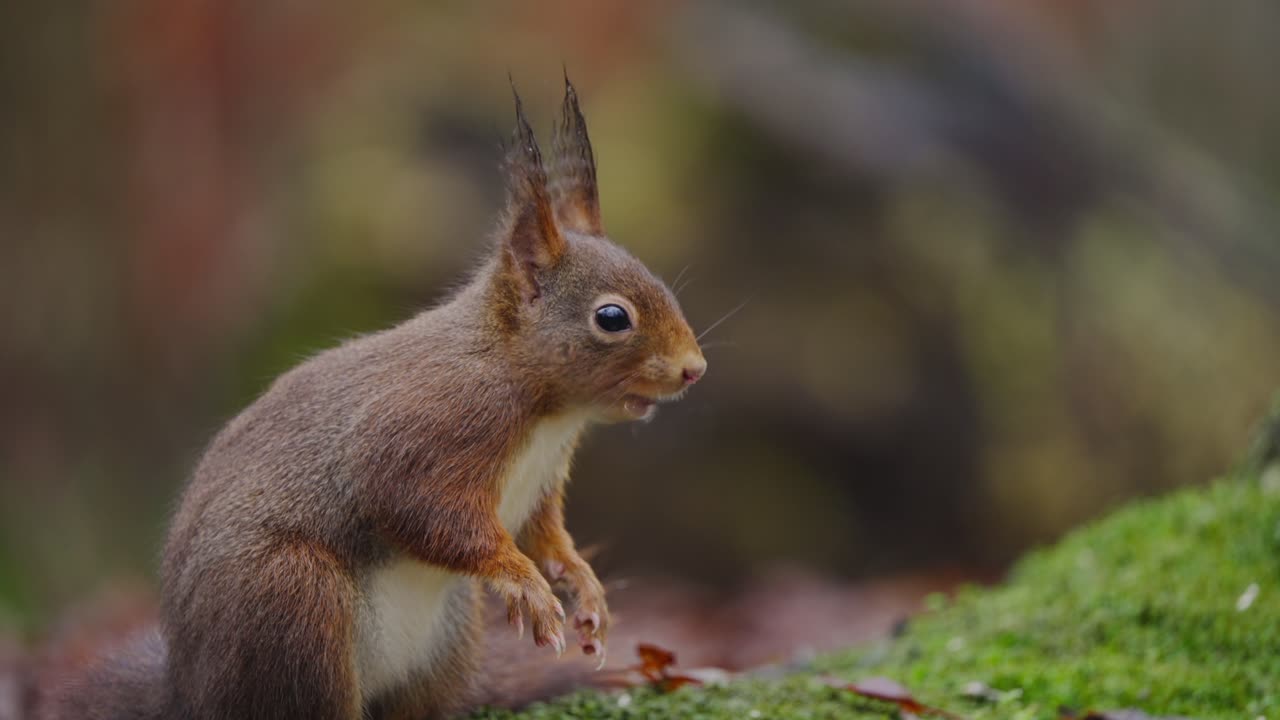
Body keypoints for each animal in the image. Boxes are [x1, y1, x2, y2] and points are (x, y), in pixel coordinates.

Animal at [27, 77, 706, 720]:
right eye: (612, 318)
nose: (694, 370)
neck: (540, 404)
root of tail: (191, 694)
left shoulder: (539, 483)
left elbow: (546, 533)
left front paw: (583, 585)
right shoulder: (427, 429)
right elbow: (417, 507)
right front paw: (523, 581)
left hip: (448, 634)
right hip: (294, 602)